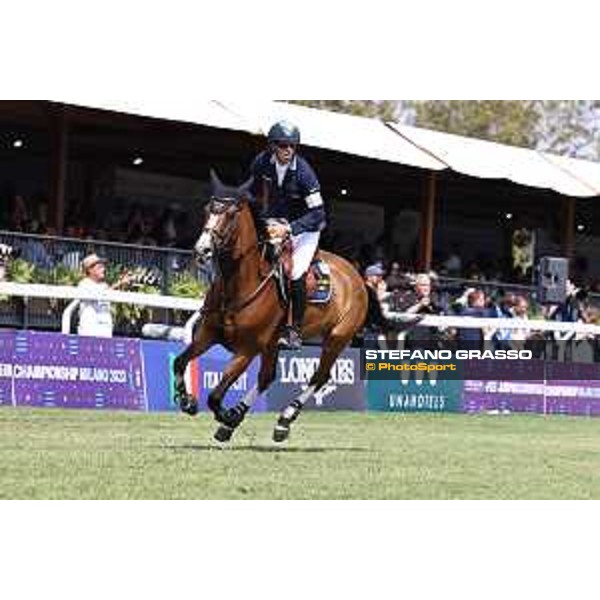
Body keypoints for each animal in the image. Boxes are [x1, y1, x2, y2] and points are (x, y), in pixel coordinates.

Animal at [172, 171, 370, 442]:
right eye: (207, 209)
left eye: (231, 214)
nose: (202, 250)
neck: (238, 284)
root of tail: (355, 274)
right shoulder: (207, 336)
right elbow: (179, 362)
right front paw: (188, 401)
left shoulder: (247, 349)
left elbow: (214, 396)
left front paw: (226, 416)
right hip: (273, 344)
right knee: (267, 377)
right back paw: (237, 419)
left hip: (337, 337)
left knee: (320, 376)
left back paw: (283, 420)